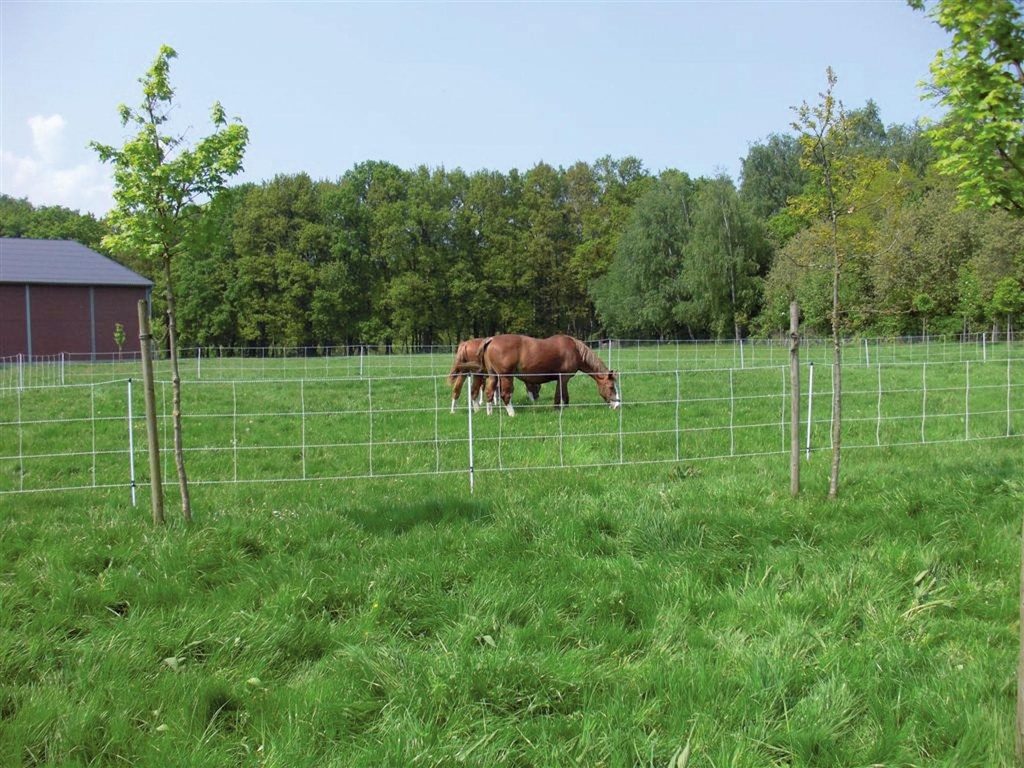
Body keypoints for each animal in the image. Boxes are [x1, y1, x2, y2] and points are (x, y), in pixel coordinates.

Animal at [477, 333, 614, 417]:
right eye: (611, 387)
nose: (616, 404)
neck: (575, 350)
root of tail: (491, 340)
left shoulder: (561, 379)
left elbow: (562, 394)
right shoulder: (563, 378)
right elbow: (561, 395)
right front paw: (559, 409)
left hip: (493, 376)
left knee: (489, 392)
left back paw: (489, 413)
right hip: (506, 377)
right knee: (505, 395)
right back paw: (512, 413)